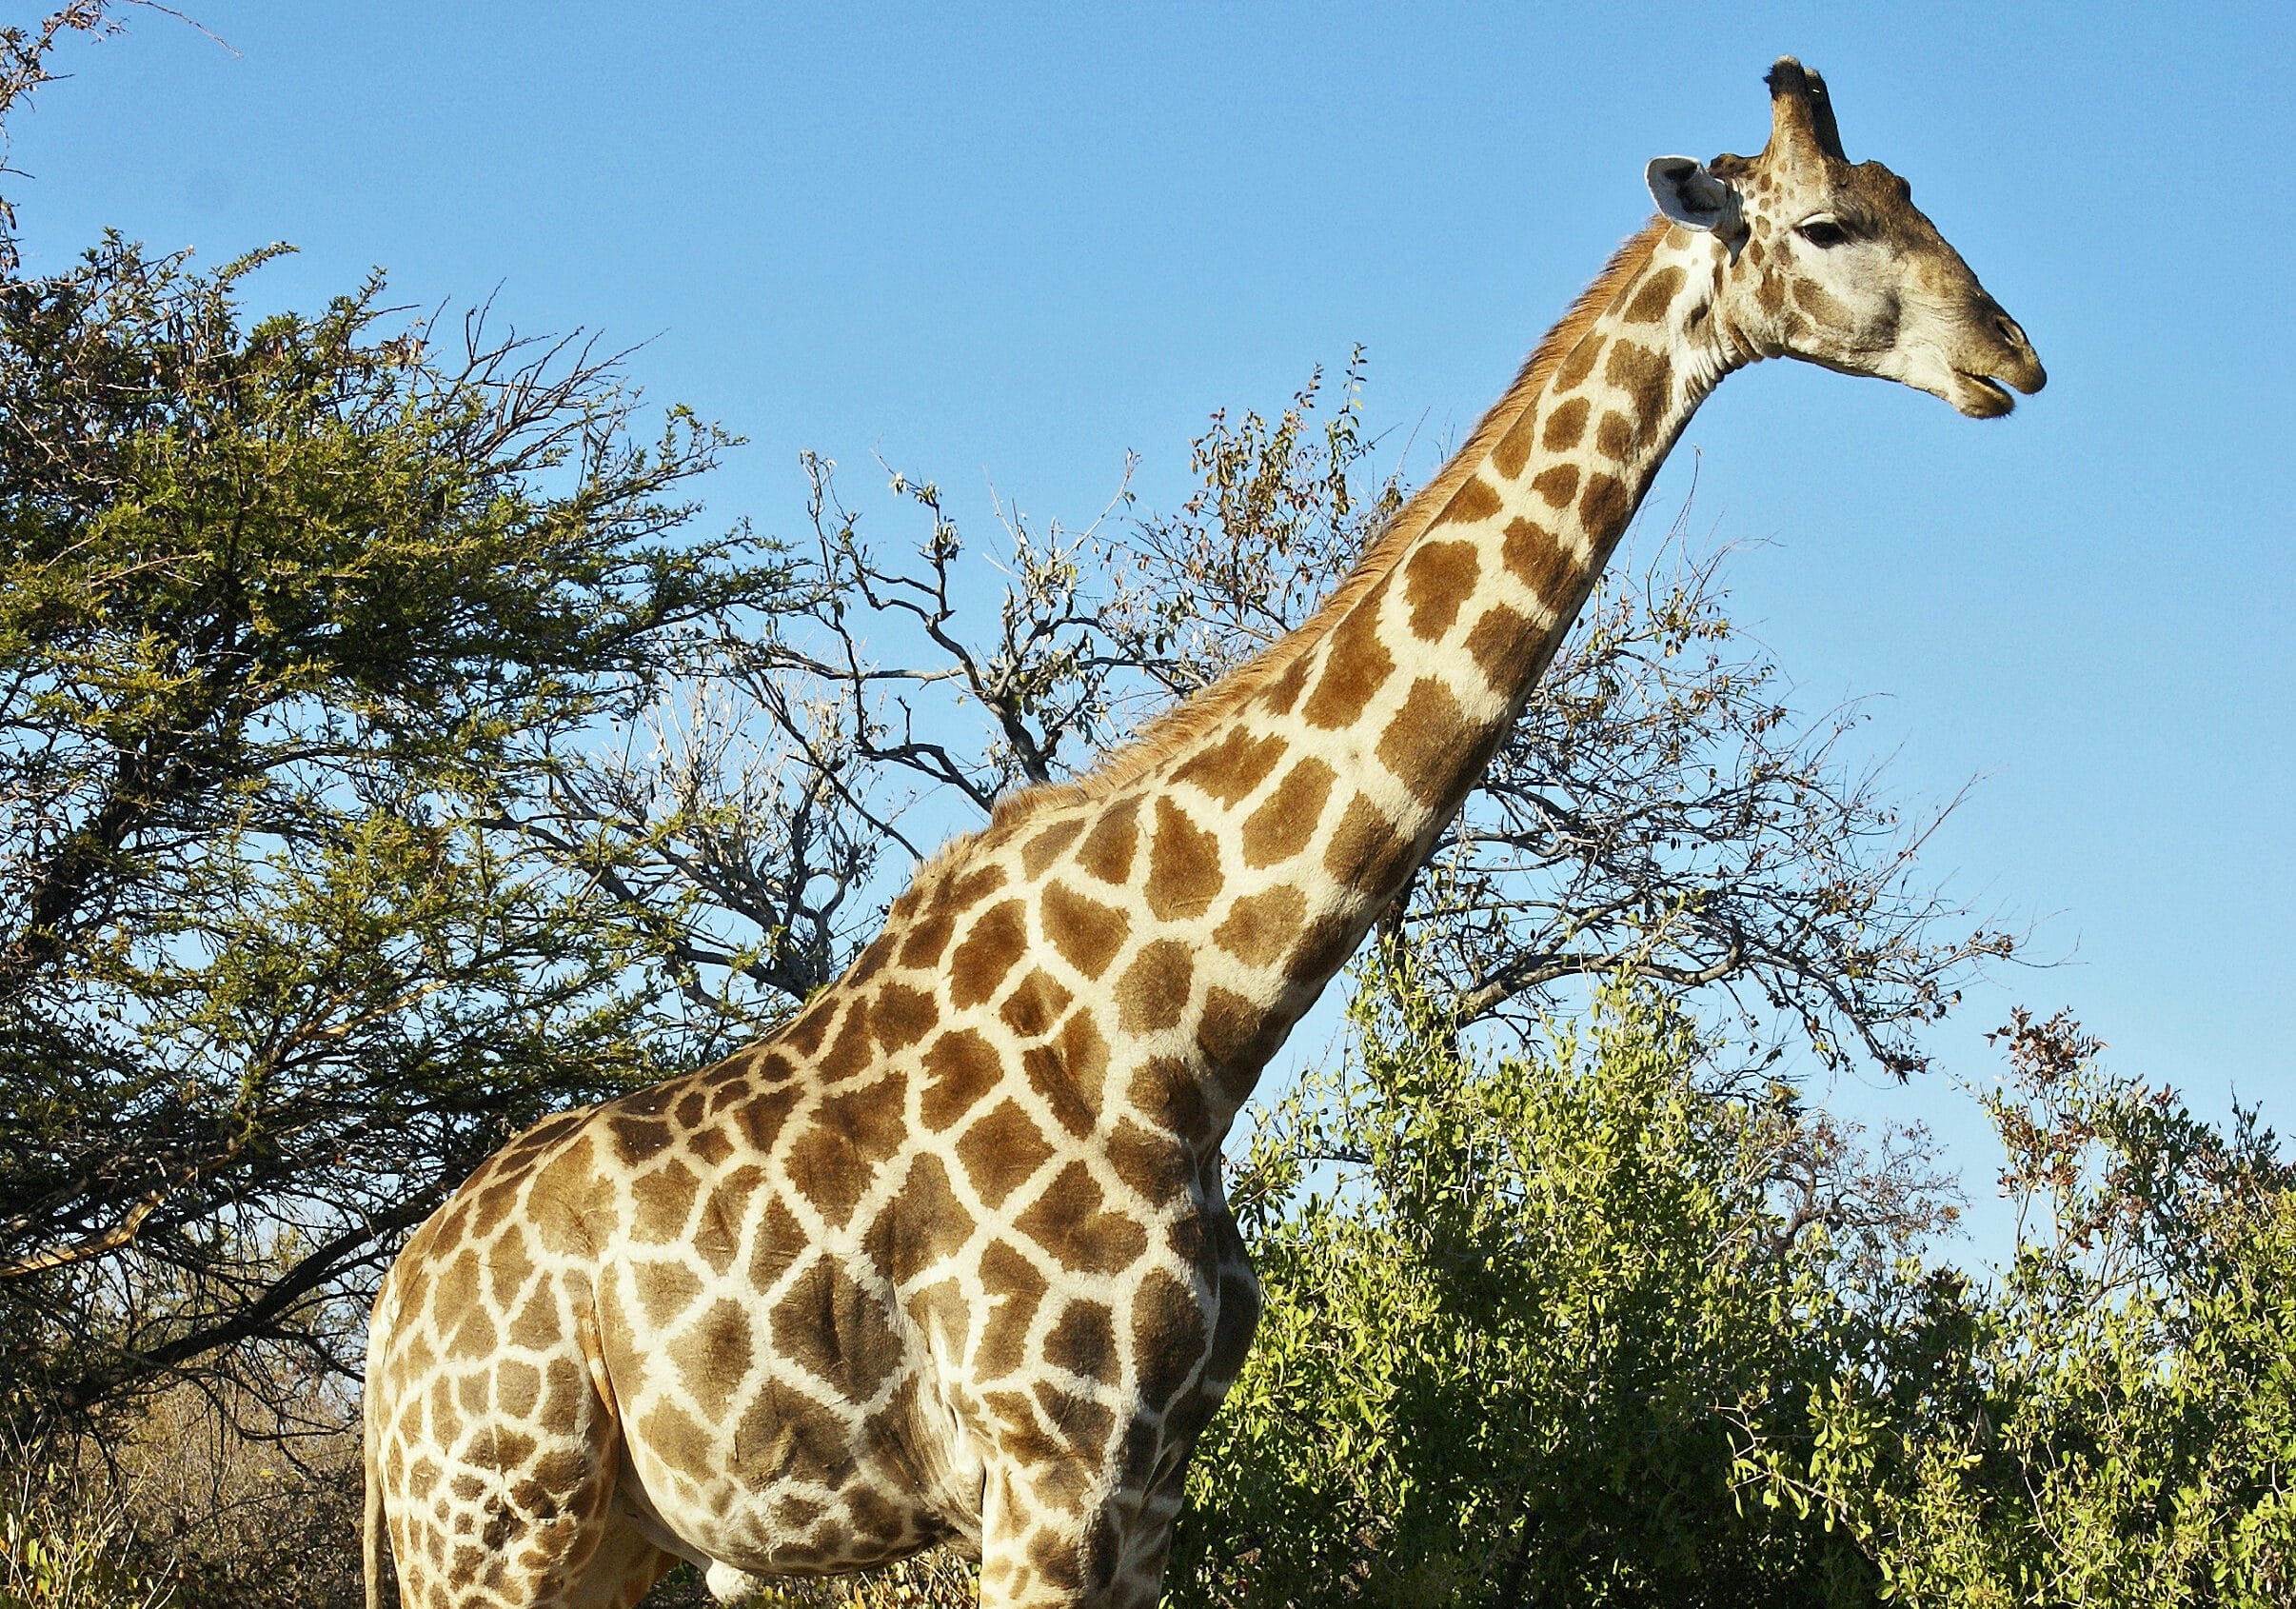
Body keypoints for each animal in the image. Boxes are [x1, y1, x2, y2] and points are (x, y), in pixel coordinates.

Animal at [364, 58, 2043, 1609]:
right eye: (1827, 224)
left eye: (1912, 195)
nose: (2010, 357)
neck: (1186, 1022)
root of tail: (386, 1334)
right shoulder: (1050, 1468)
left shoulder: (1152, 1483)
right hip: (496, 1529)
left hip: (604, 1538)